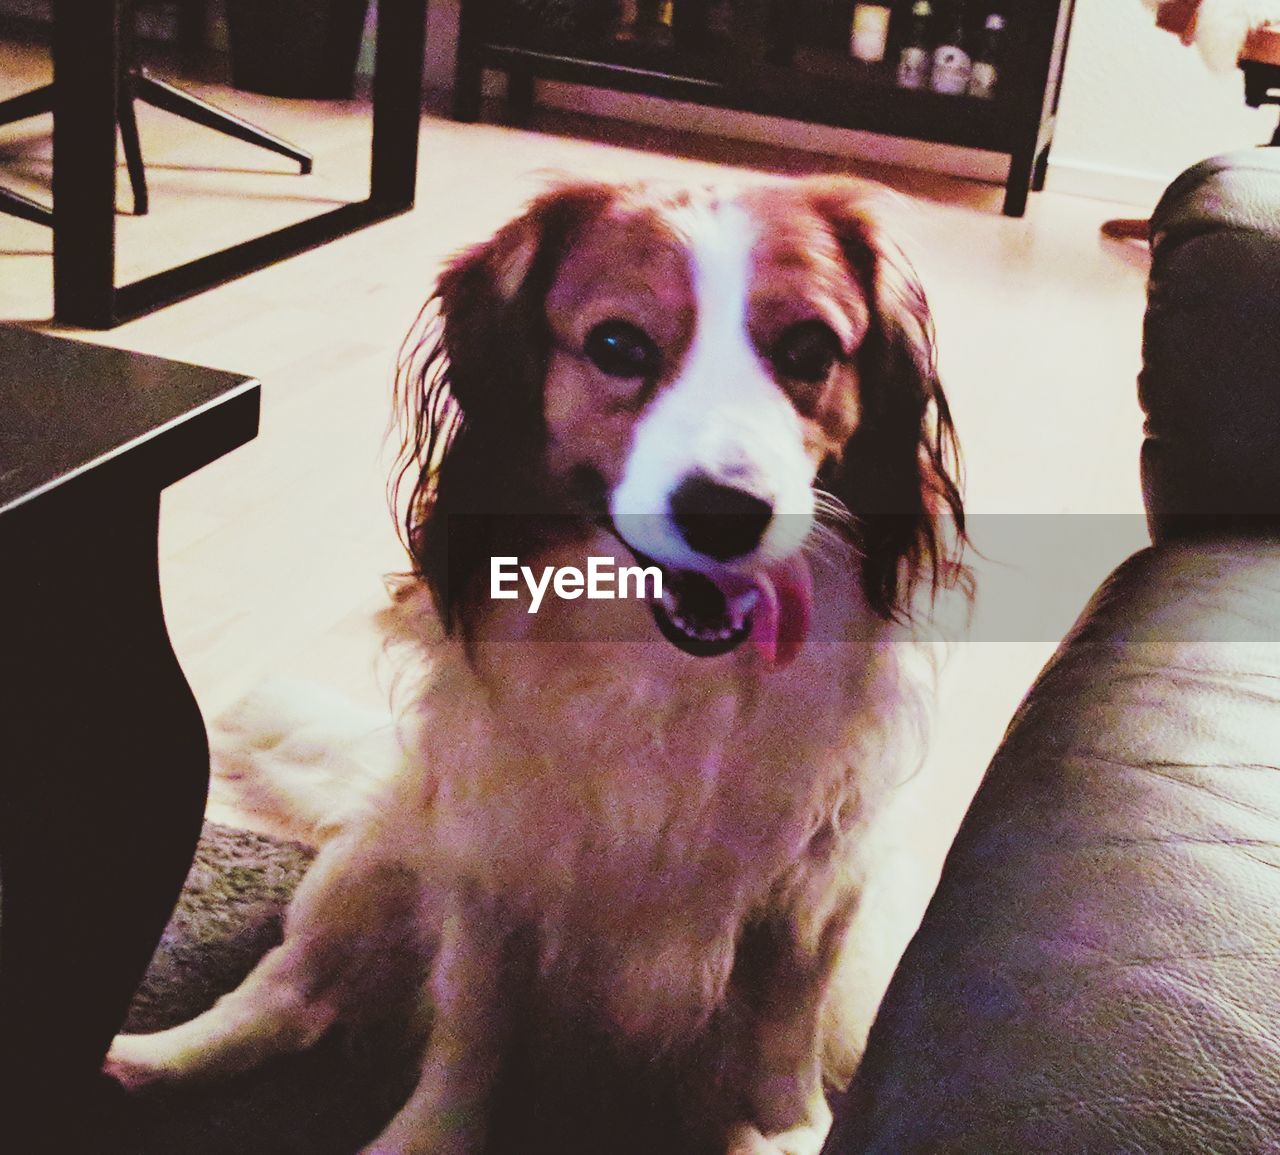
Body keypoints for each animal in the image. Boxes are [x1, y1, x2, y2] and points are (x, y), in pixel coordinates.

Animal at [110, 174, 962, 1155]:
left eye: (810, 348)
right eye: (619, 345)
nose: (726, 511)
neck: (665, 664)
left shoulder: (817, 886)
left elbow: (785, 1027)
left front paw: (787, 1131)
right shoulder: (495, 863)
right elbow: (469, 1032)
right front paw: (427, 1138)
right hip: (376, 857)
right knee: (293, 995)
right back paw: (147, 1058)